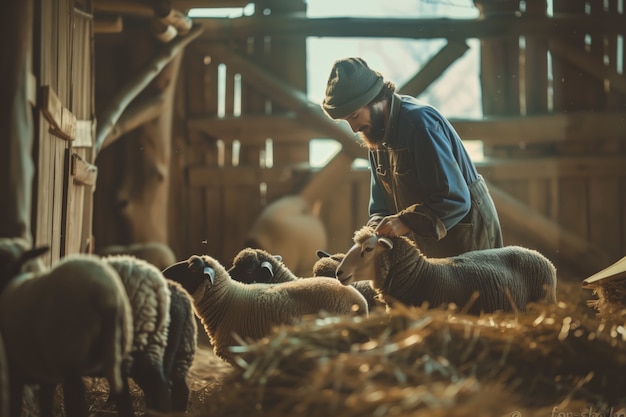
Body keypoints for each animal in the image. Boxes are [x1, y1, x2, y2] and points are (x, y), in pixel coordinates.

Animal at [0, 237, 133, 416]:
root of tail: (105, 293)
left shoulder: (15, 370)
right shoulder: (45, 375)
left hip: (71, 353)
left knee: (77, 403)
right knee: (124, 398)